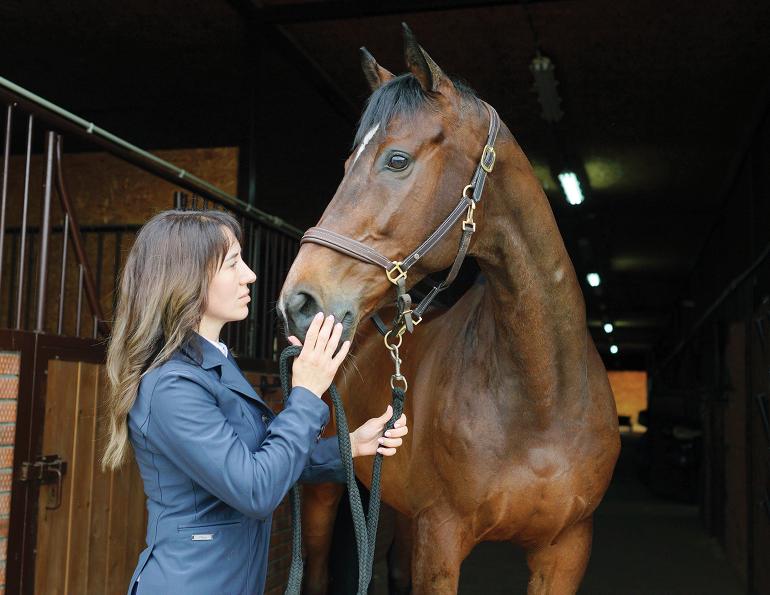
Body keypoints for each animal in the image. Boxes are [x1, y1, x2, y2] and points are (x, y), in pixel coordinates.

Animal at [278, 24, 620, 595]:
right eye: (346, 165)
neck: (542, 399)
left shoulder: (567, 549)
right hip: (326, 494)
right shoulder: (441, 537)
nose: (298, 302)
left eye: (397, 159)